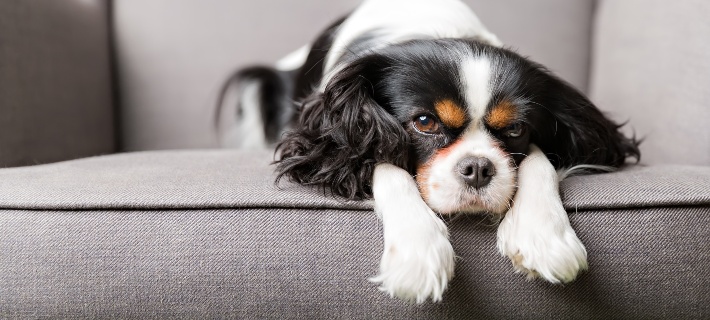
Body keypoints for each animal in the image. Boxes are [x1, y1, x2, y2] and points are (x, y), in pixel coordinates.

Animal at [217, 0, 640, 302]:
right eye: (424, 122)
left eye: (516, 129)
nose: (479, 168)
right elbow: (382, 162)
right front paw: (418, 252)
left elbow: (539, 161)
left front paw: (543, 234)